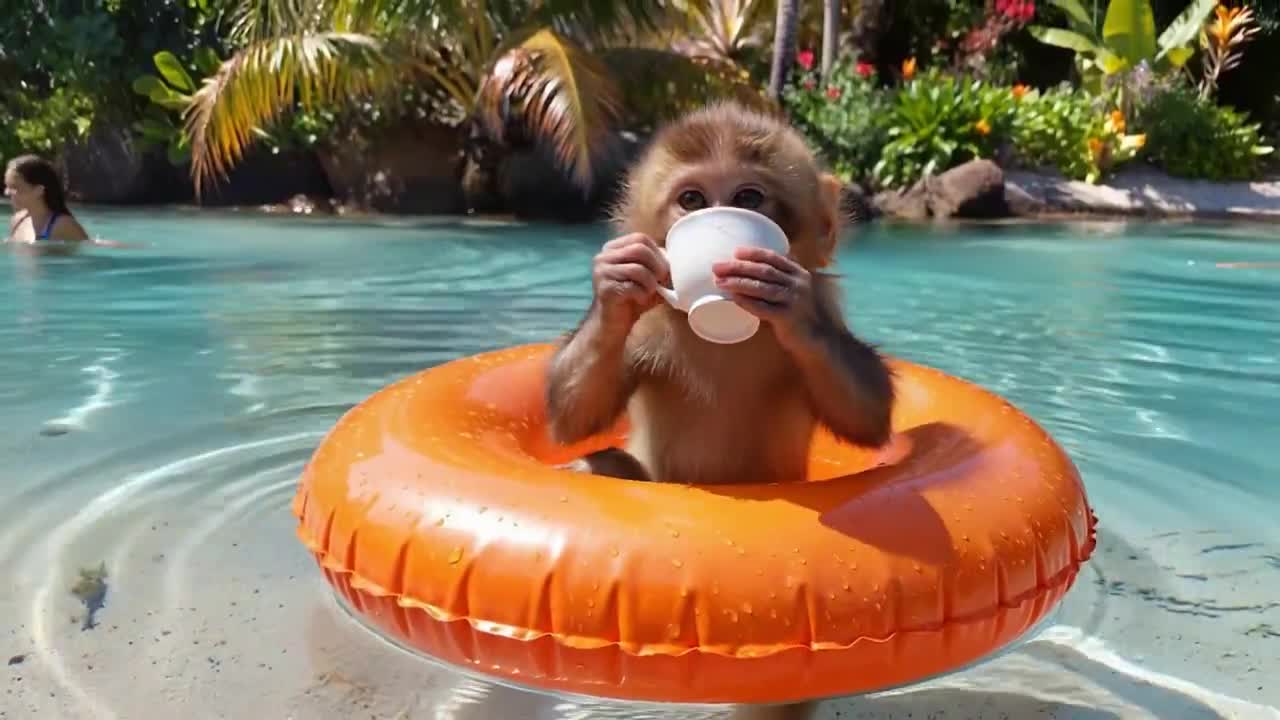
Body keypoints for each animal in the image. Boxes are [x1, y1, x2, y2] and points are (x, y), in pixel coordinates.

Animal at [544, 101, 894, 485]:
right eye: (691, 198)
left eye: (748, 197)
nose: (717, 214)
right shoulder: (644, 325)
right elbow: (576, 416)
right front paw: (614, 286)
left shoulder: (823, 296)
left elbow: (866, 415)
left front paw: (794, 310)